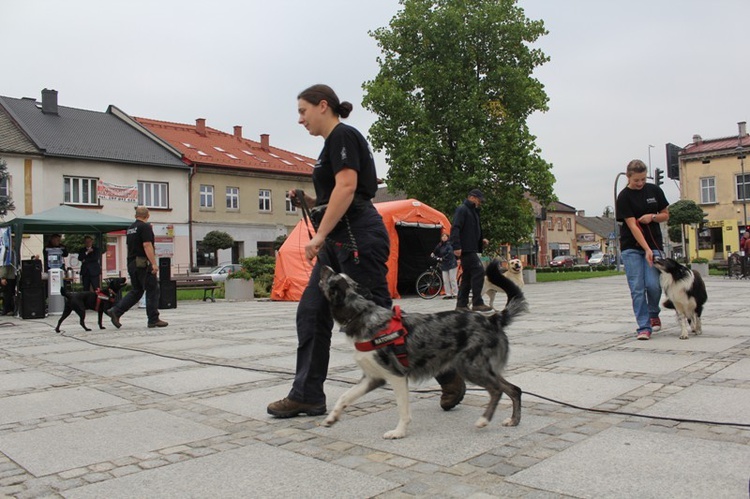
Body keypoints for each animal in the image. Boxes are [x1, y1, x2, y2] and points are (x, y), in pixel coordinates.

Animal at [320, 260, 524, 440]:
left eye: (330, 276)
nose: (323, 266)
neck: (361, 314)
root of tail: (492, 319)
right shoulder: (373, 377)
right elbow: (345, 396)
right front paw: (332, 417)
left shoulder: (397, 376)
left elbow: (403, 410)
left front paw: (399, 432)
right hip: (482, 368)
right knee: (514, 389)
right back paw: (513, 420)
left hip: (470, 367)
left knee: (497, 390)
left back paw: (484, 420)